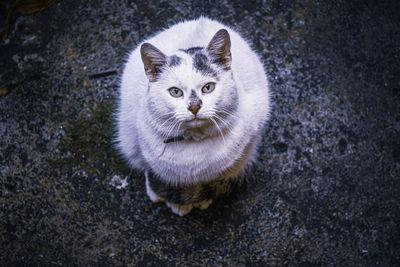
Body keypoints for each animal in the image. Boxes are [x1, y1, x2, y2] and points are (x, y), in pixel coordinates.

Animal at [116, 16, 272, 217]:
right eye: (175, 92)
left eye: (208, 87)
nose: (194, 106)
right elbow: (157, 173)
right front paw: (168, 198)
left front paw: (194, 200)